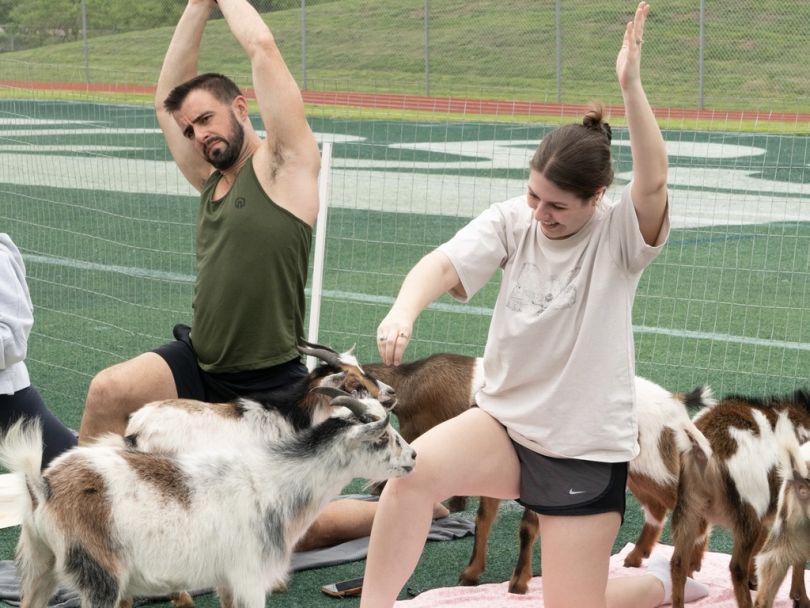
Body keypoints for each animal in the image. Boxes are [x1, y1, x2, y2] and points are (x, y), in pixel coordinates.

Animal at [0, 394, 416, 608]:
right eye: (383, 439)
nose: (413, 456)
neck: (277, 482)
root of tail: (43, 486)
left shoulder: (227, 581)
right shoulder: (249, 577)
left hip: (39, 566)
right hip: (100, 577)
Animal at [664, 390, 808, 608]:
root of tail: (706, 446)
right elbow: (798, 558)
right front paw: (801, 598)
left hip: (689, 506)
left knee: (678, 563)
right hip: (748, 509)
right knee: (736, 567)